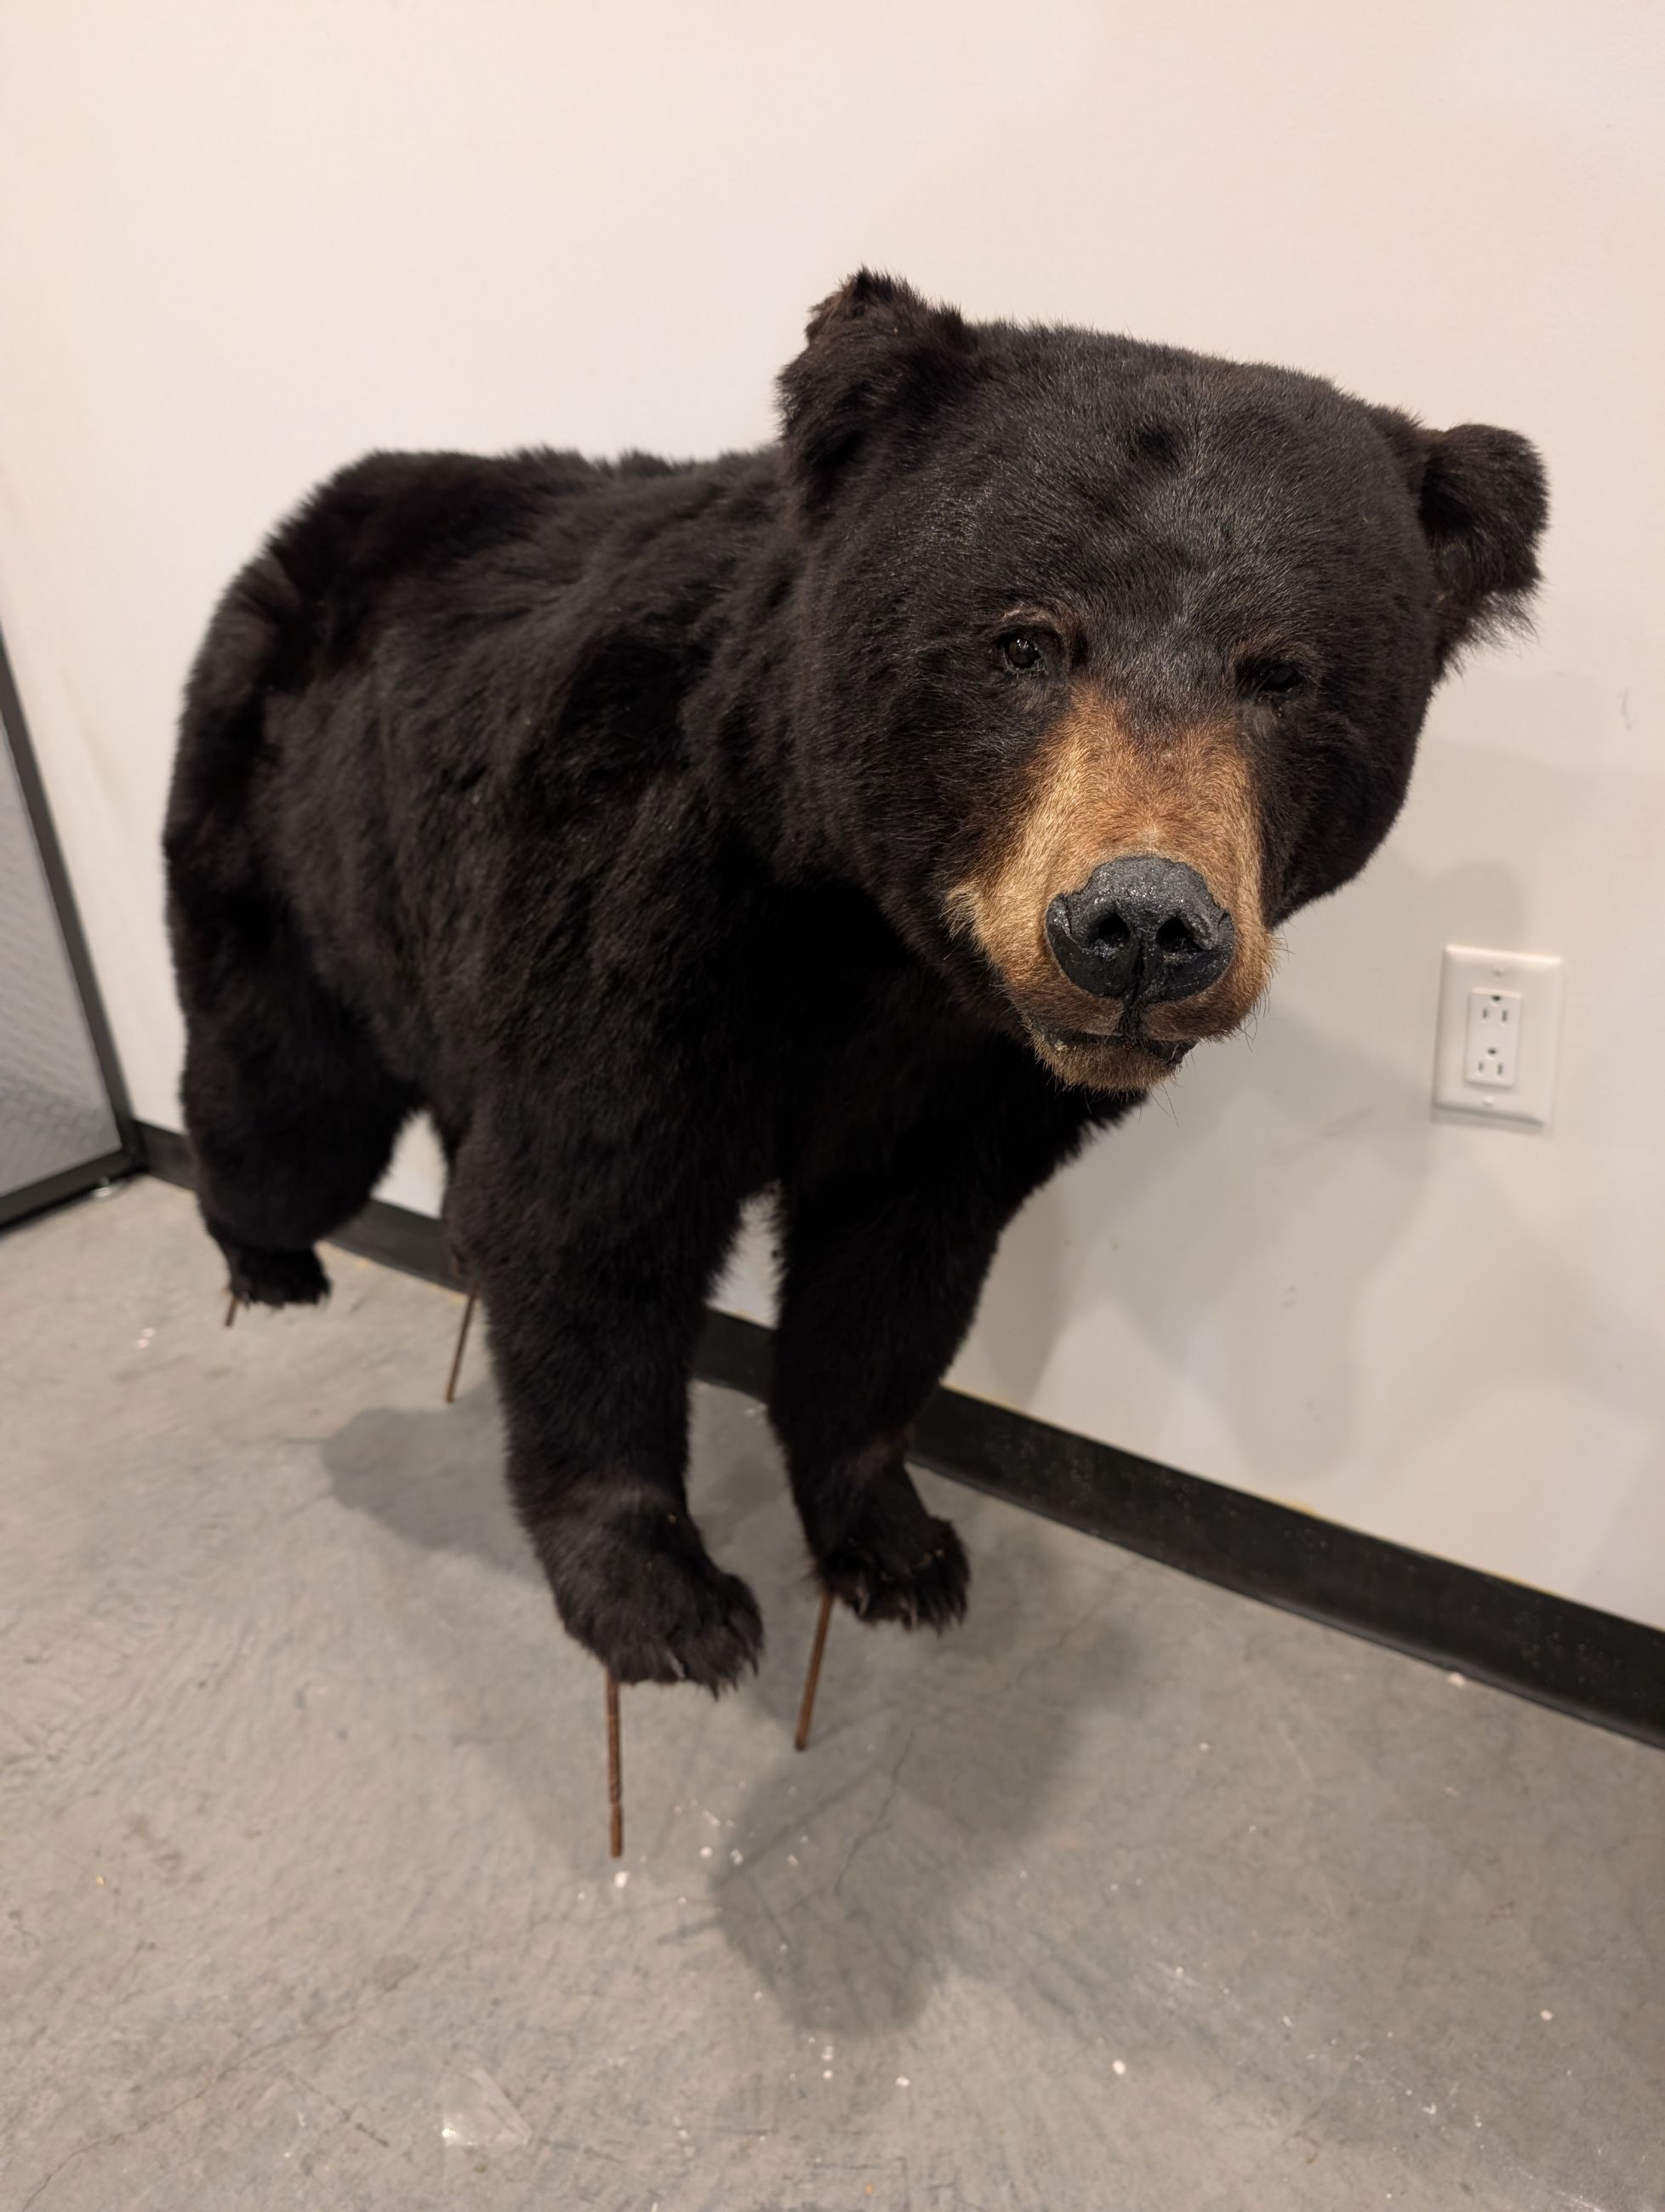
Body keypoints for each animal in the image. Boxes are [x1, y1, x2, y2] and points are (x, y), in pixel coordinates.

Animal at [164, 271, 1546, 1693]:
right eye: (1026, 641)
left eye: (1283, 674)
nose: (1140, 926)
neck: (869, 942)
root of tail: (320, 509)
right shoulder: (632, 925)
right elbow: (589, 1224)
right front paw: (665, 1600)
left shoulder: (964, 1090)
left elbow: (892, 1286)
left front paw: (896, 1546)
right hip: (293, 841)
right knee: (291, 1101)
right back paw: (268, 1261)